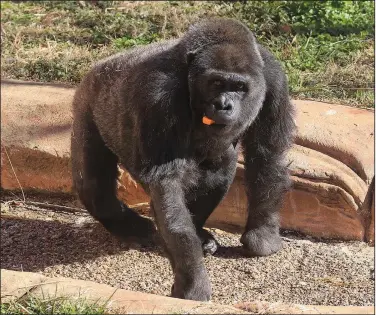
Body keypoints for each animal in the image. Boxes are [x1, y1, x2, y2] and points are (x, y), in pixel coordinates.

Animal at [70, 17, 294, 302]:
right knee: (94, 185)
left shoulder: (274, 80)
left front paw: (262, 234)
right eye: (216, 84)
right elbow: (168, 184)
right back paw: (130, 227)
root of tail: (103, 62)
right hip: (88, 97)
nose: (224, 105)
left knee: (222, 163)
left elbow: (267, 155)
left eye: (240, 88)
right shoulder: (157, 93)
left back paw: (199, 233)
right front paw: (192, 280)